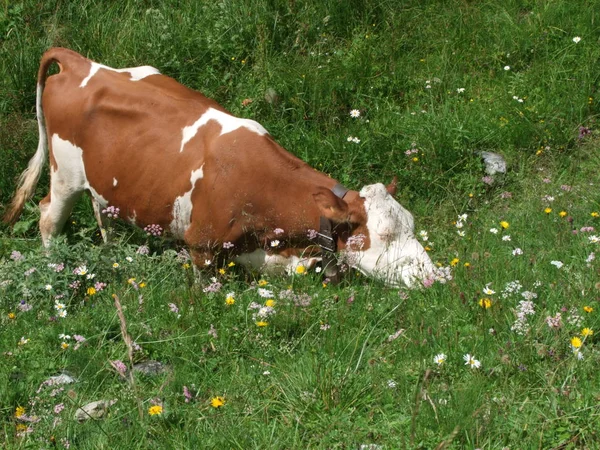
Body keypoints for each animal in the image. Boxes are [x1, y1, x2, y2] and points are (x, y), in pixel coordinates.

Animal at [3, 48, 436, 288]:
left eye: (412, 225)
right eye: (384, 235)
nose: (434, 276)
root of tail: (81, 64)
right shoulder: (201, 245)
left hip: (102, 181)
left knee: (101, 210)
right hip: (64, 174)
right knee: (47, 216)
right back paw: (54, 265)